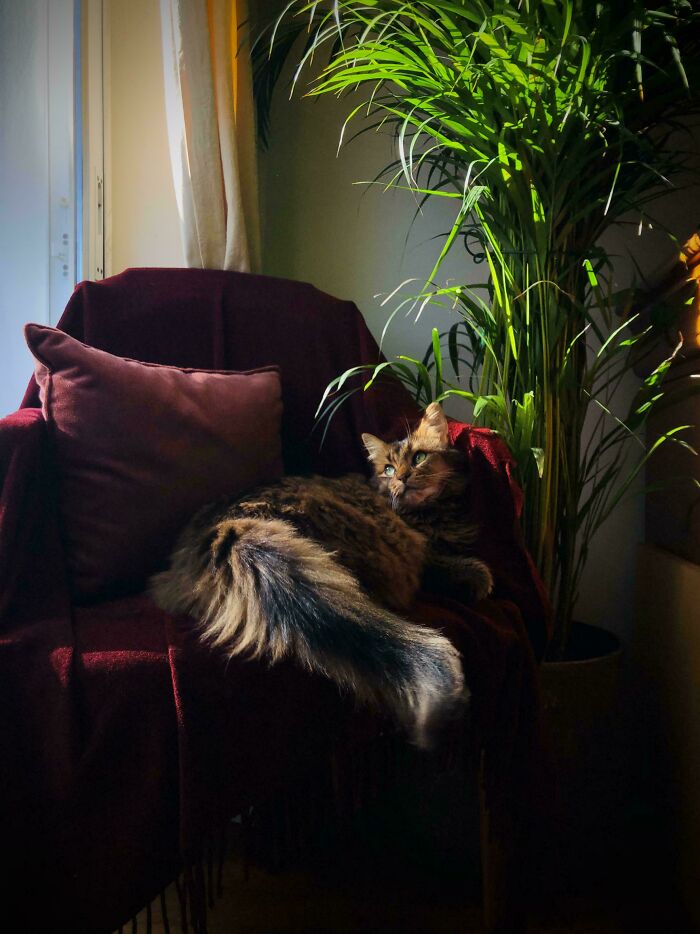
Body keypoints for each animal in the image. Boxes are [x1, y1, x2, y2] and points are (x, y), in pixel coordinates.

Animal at [152, 402, 492, 744]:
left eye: (419, 458)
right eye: (388, 470)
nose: (403, 479)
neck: (431, 512)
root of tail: (223, 527)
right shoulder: (423, 550)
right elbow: (449, 564)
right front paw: (479, 576)